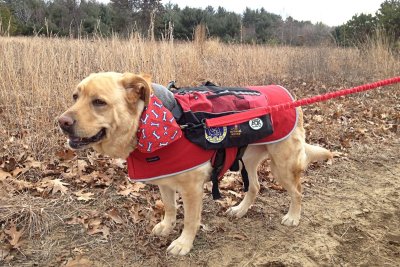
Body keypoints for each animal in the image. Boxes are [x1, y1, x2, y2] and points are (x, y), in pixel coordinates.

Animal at [57, 72, 332, 256]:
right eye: (75, 96)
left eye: (99, 102)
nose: (61, 122)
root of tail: (289, 95)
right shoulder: (165, 182)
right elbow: (169, 208)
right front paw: (167, 226)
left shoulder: (191, 189)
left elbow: (190, 219)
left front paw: (183, 243)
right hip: (248, 158)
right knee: (255, 187)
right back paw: (240, 210)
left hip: (282, 164)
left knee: (297, 191)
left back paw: (293, 217)